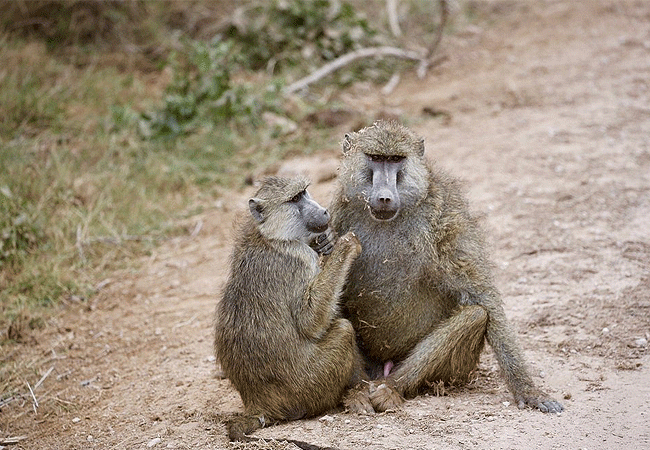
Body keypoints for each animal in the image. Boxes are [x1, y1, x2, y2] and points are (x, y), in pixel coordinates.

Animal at [214, 176, 373, 450]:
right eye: (295, 198)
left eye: (305, 192)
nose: (324, 212)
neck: (271, 236)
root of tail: (258, 404)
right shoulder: (300, 260)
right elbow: (310, 321)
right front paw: (345, 246)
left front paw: (328, 243)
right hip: (310, 385)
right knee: (343, 330)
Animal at [326, 120, 563, 414]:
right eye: (376, 158)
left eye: (396, 160)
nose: (384, 198)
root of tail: (382, 369)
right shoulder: (337, 213)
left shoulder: (444, 218)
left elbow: (483, 297)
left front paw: (529, 391)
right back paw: (357, 391)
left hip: (455, 370)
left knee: (475, 315)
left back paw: (391, 388)